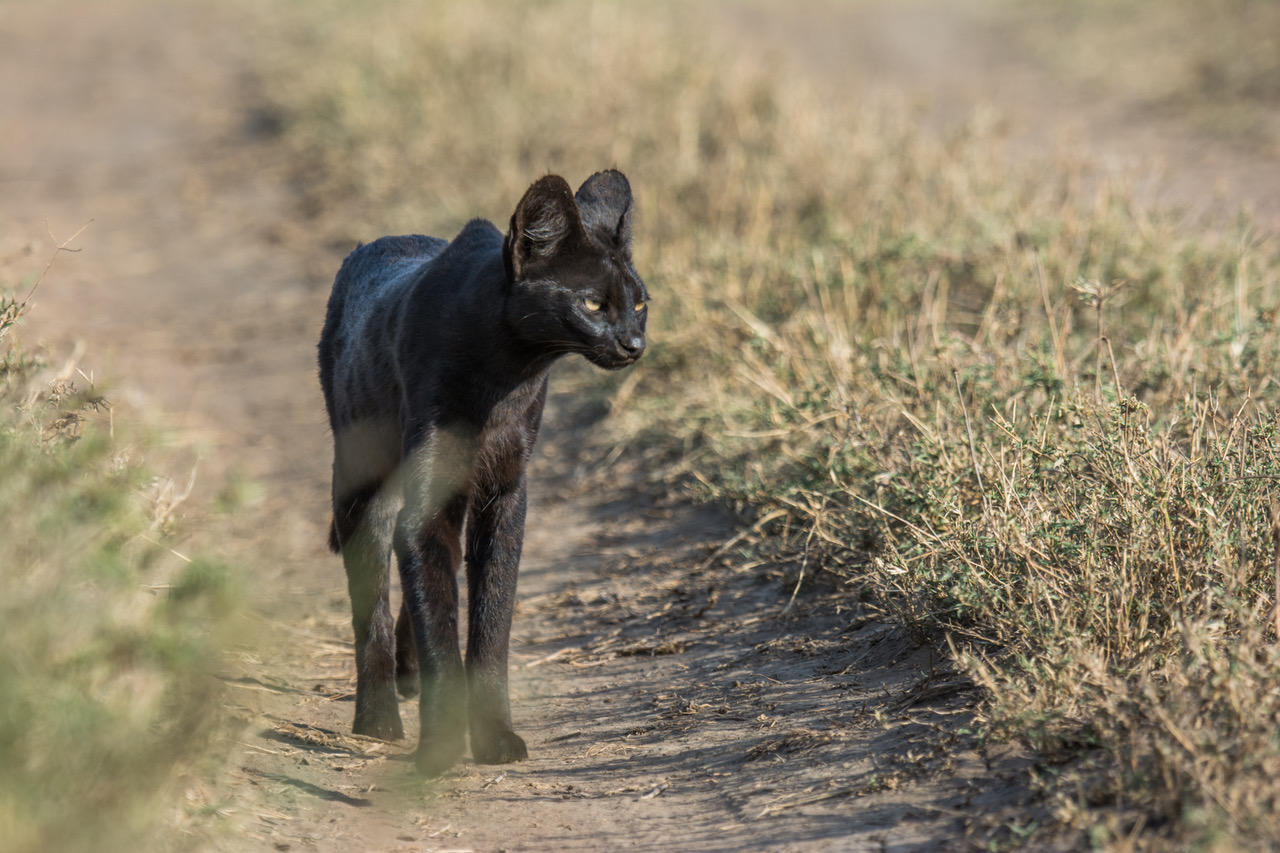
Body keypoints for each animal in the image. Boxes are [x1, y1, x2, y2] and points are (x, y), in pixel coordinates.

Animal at [316, 171, 645, 768]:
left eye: (641, 304)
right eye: (592, 302)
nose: (635, 343)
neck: (509, 370)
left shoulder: (505, 494)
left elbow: (491, 622)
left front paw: (494, 737)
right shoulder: (425, 507)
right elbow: (440, 623)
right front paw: (442, 748)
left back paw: (406, 677)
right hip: (361, 491)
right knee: (371, 605)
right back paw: (377, 719)